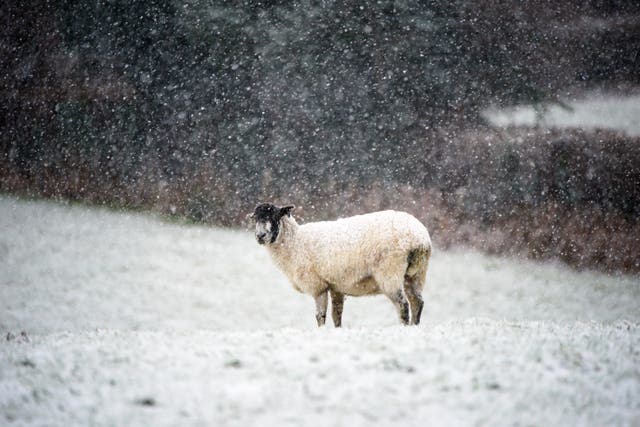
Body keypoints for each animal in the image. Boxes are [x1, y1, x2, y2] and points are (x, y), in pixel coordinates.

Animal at [248, 204, 432, 328]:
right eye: (255, 218)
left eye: (274, 217)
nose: (260, 236)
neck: (295, 242)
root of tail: (418, 238)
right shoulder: (336, 287)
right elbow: (337, 315)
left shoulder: (319, 286)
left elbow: (320, 315)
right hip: (416, 274)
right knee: (417, 302)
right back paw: (415, 327)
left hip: (390, 273)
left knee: (403, 305)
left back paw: (403, 328)